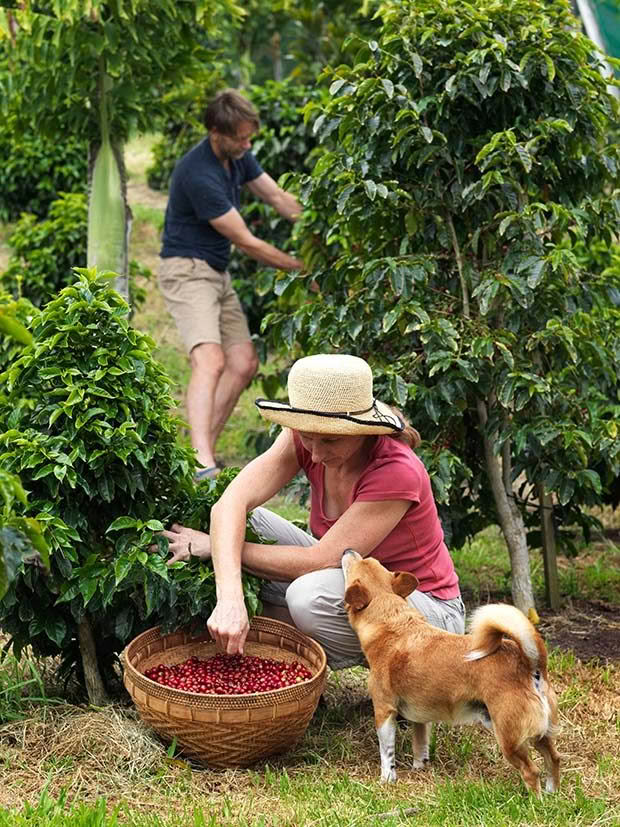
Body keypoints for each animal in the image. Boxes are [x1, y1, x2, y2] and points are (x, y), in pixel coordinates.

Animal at [342, 548, 560, 796]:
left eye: (351, 568)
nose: (348, 550)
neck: (392, 622)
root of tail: (529, 663)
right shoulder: (419, 717)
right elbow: (420, 744)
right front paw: (419, 768)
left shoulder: (384, 710)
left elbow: (386, 752)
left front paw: (387, 779)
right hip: (541, 733)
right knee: (554, 758)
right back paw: (552, 793)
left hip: (509, 737)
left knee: (531, 771)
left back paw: (535, 800)